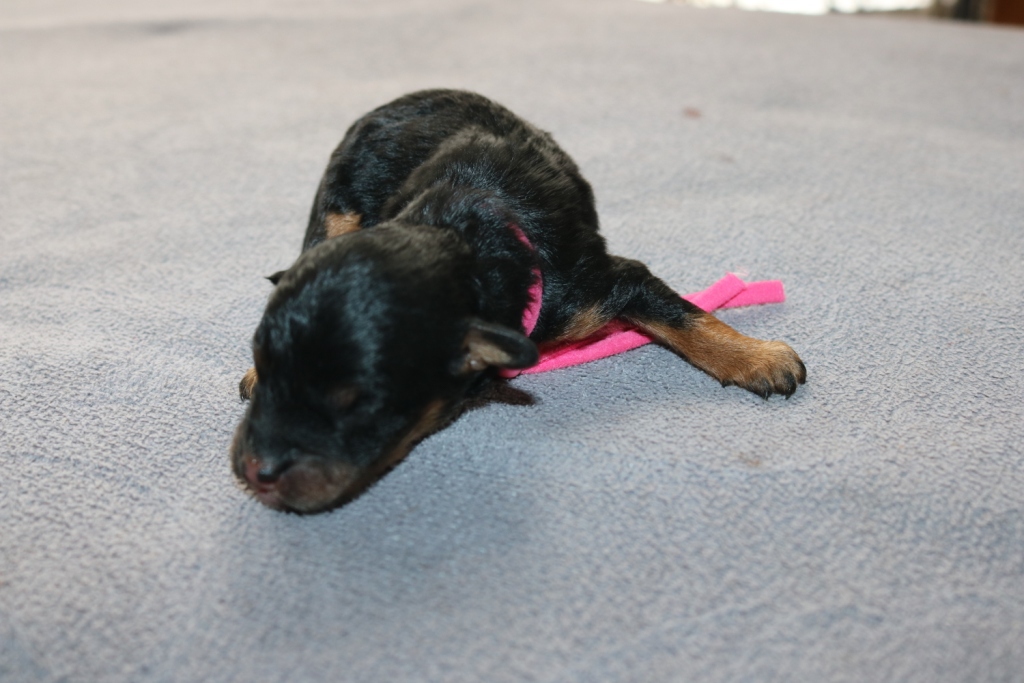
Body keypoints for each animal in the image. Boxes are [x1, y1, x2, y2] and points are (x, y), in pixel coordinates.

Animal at [230, 89, 806, 514]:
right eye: (273, 368)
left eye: (358, 405)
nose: (254, 472)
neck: (463, 236)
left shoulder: (602, 284)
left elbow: (682, 314)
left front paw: (757, 357)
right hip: (335, 205)